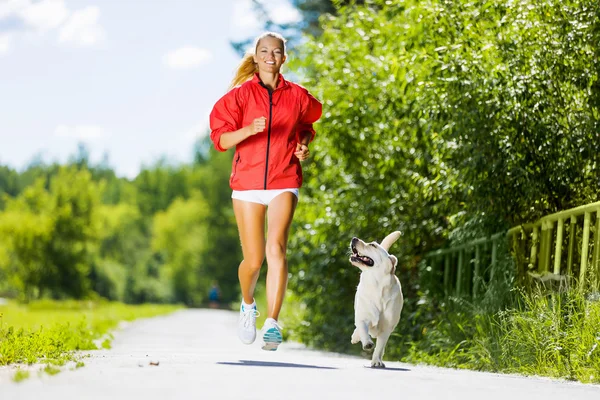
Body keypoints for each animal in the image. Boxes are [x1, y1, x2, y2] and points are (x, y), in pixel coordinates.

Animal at [346, 231, 404, 368]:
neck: (376, 284)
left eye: (372, 245)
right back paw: (356, 337)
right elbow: (362, 329)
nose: (354, 238)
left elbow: (380, 347)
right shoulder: (364, 317)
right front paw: (366, 342)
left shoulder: (386, 328)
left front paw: (376, 361)